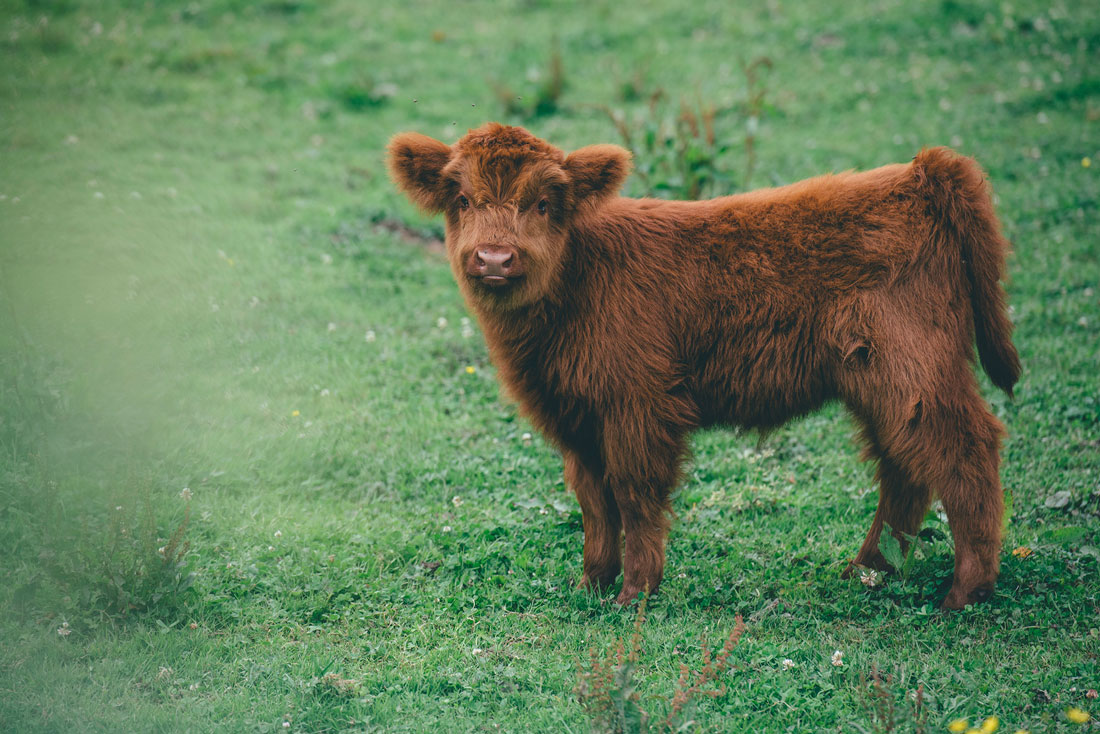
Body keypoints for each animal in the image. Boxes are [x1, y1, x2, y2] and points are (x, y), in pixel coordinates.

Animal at [387, 122, 1020, 609]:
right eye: (461, 199)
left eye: (543, 202)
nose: (495, 258)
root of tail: (918, 173)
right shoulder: (575, 418)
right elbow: (593, 501)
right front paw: (591, 584)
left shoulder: (638, 405)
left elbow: (634, 495)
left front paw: (635, 594)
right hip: (878, 381)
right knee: (903, 465)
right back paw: (868, 572)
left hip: (914, 370)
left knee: (965, 449)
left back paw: (965, 591)